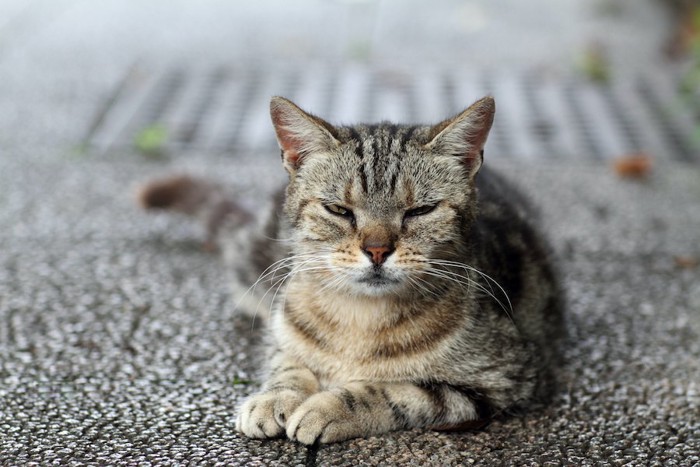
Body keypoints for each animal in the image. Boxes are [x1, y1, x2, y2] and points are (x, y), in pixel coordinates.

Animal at [138, 95, 564, 446]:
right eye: (339, 210)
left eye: (420, 210)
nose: (377, 250)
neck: (359, 319)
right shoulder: (283, 329)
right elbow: (286, 361)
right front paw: (276, 396)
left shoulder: (497, 382)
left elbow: (395, 392)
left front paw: (329, 408)